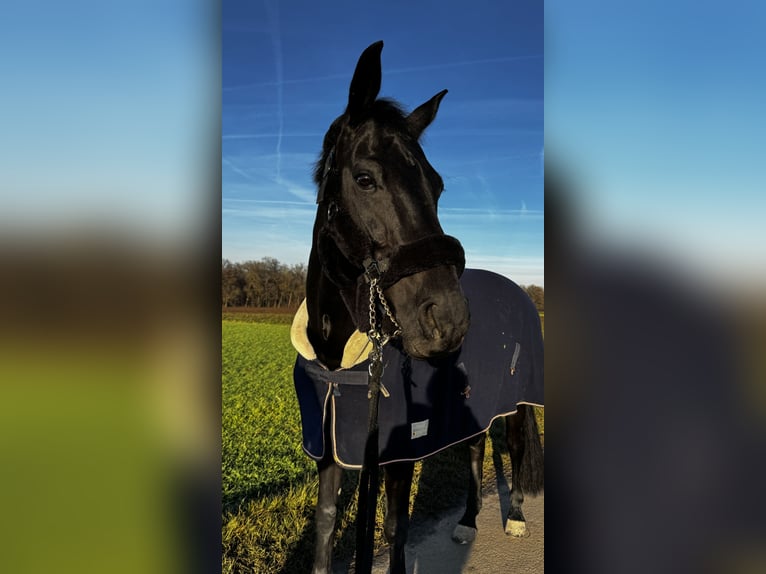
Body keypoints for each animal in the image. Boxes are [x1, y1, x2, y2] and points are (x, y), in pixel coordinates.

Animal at [290, 41, 544, 574]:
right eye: (365, 178)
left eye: (438, 184)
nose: (447, 320)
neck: (340, 358)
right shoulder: (330, 446)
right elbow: (325, 522)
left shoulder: (398, 456)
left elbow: (394, 527)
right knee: (475, 449)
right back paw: (467, 522)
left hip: (519, 404)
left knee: (512, 447)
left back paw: (514, 517)